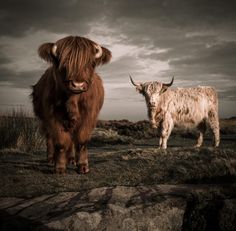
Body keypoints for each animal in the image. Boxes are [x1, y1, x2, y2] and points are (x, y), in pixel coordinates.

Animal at [31, 36, 111, 173]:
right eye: (64, 63)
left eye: (91, 63)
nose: (78, 85)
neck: (72, 101)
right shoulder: (52, 116)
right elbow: (61, 141)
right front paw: (59, 167)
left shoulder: (89, 115)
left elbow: (81, 140)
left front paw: (83, 166)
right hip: (44, 120)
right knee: (50, 138)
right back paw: (51, 159)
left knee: (72, 141)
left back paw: (72, 159)